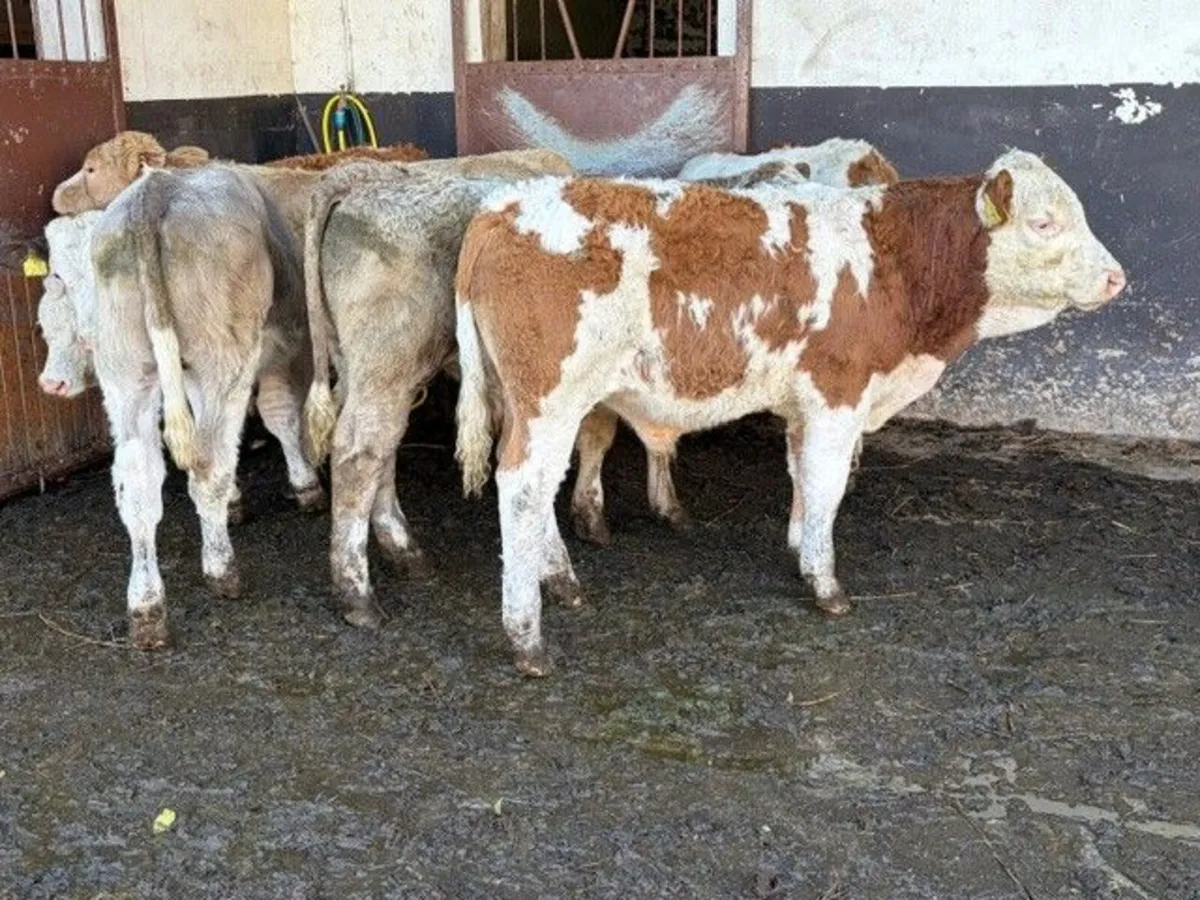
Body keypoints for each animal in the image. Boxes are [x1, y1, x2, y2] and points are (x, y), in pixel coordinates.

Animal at [39, 164, 323, 649]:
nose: (51, 382)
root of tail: (156, 189)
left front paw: (237, 501)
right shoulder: (289, 345)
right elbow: (281, 414)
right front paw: (306, 486)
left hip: (127, 374)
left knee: (137, 482)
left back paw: (147, 606)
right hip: (221, 361)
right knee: (207, 466)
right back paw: (222, 570)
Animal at [299, 151, 574, 629]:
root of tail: (363, 179)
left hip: (367, 368)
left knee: (380, 446)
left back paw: (404, 551)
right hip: (387, 360)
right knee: (359, 449)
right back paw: (357, 595)